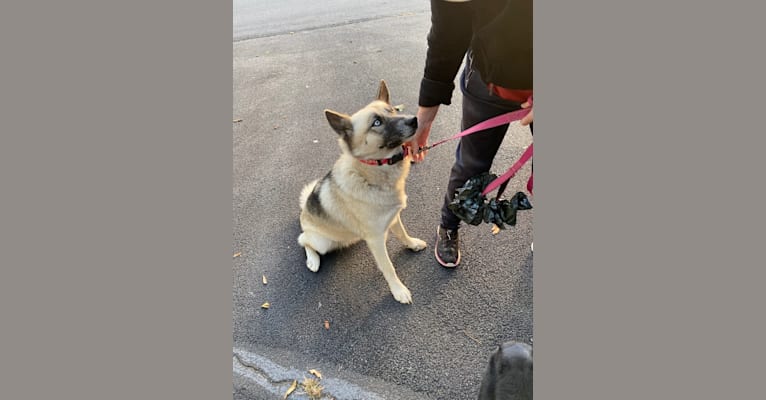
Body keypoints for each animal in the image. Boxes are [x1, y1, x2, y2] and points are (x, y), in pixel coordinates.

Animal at [298, 80, 428, 304]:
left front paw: (412, 244)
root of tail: (304, 210)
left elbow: (403, 234)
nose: (414, 120)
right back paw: (313, 260)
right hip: (322, 242)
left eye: (393, 110)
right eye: (376, 123)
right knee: (304, 241)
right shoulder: (376, 240)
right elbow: (388, 268)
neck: (371, 173)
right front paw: (398, 290)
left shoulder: (394, 218)